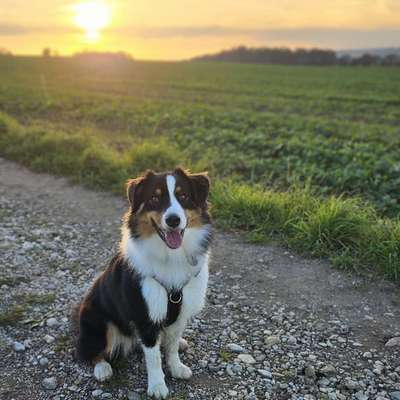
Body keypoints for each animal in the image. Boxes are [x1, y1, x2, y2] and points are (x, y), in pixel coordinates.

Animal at [74, 167, 212, 398]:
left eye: (183, 196)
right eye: (155, 198)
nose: (173, 220)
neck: (170, 256)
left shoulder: (181, 311)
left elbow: (172, 346)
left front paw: (176, 367)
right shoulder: (145, 315)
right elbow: (153, 358)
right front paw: (157, 386)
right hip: (99, 319)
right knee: (89, 350)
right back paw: (102, 368)